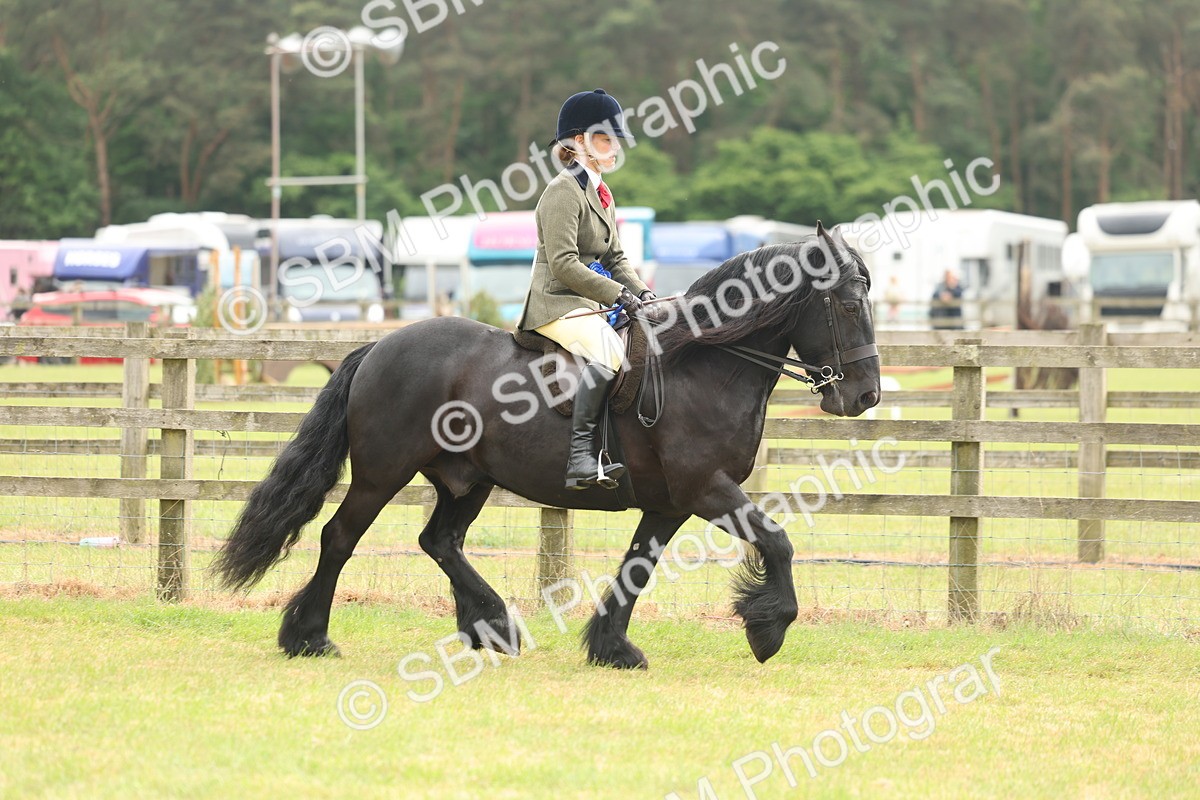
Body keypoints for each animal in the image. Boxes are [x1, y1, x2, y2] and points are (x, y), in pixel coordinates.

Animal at [213, 223, 881, 669]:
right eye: (848, 304)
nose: (866, 395)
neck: (704, 362)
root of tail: (379, 346)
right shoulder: (706, 489)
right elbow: (779, 541)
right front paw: (769, 630)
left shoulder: (670, 502)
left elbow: (636, 568)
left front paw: (612, 648)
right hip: (383, 473)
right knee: (339, 537)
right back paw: (309, 637)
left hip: (466, 479)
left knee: (440, 541)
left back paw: (491, 627)